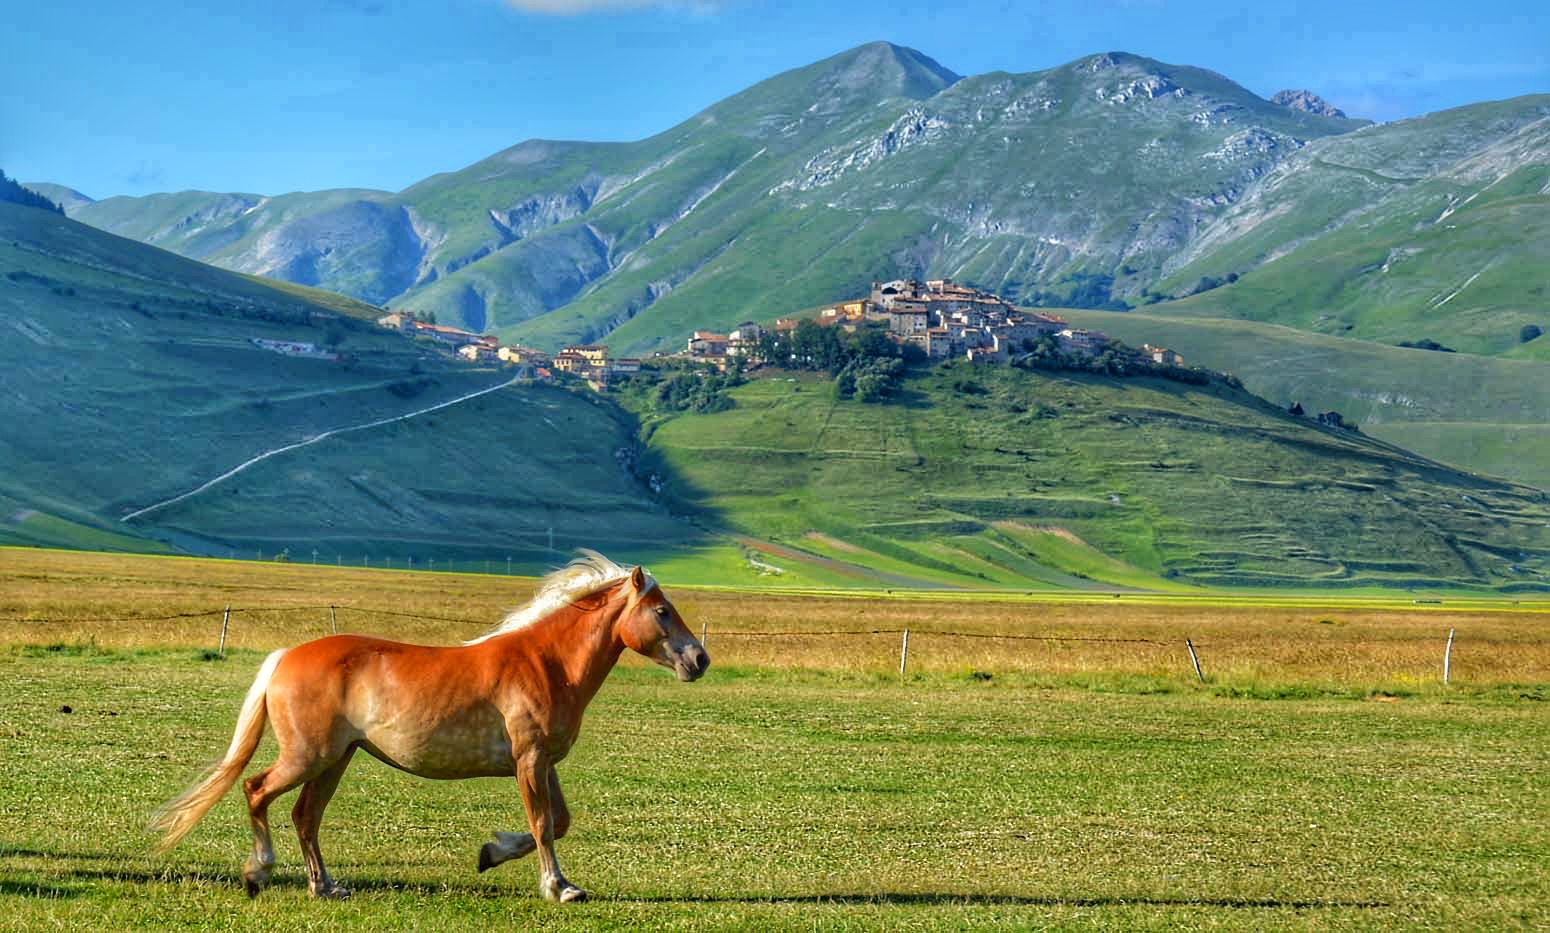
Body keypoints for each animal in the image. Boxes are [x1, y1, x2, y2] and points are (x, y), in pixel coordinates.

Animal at [148, 551, 710, 903]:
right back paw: (258, 872)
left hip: (336, 759)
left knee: (306, 816)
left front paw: (491, 854)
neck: (545, 662)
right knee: (257, 790)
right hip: (309, 756)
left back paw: (325, 887)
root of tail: (285, 656)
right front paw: (560, 888)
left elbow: (558, 822)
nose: (699, 660)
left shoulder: (542, 761)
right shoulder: (529, 759)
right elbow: (544, 825)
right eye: (662, 611)